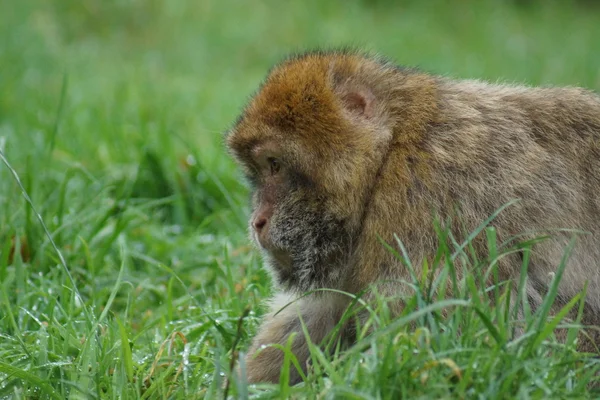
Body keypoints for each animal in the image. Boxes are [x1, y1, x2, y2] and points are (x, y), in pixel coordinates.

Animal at [225, 50, 600, 384]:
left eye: (275, 165)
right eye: (258, 170)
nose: (257, 221)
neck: (392, 150)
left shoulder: (429, 202)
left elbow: (433, 339)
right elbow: (317, 315)